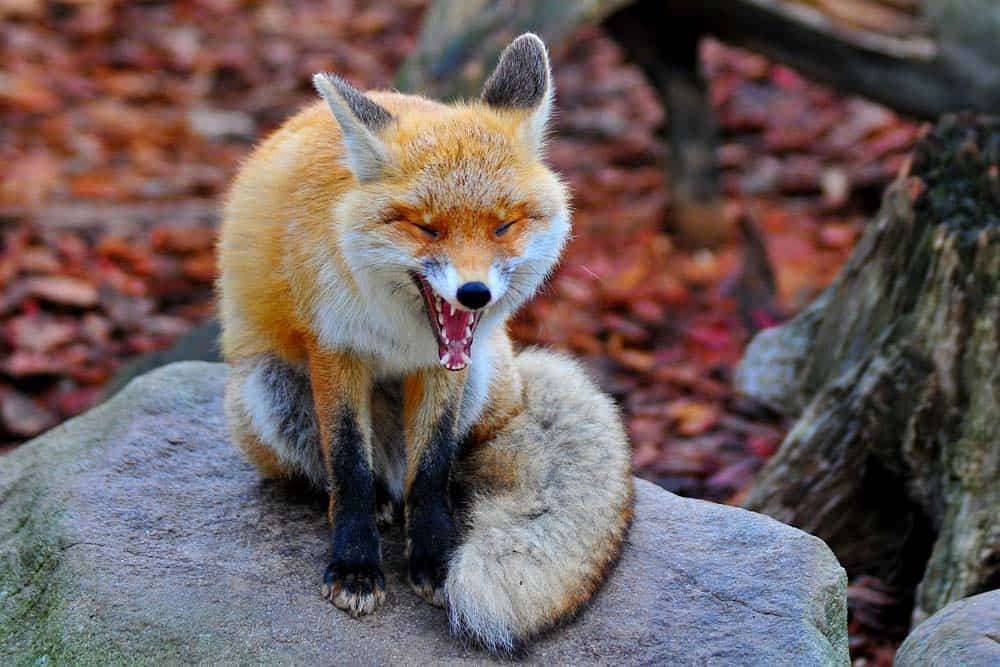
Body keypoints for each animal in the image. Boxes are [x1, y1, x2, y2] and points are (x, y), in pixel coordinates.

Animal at [217, 34, 633, 654]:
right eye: (427, 228)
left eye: (504, 226)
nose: (474, 293)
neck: (400, 332)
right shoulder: (333, 346)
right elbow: (347, 466)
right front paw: (356, 564)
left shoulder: (446, 367)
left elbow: (433, 467)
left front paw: (435, 558)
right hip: (268, 386)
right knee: (354, 472)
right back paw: (381, 503)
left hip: (482, 378)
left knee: (446, 467)